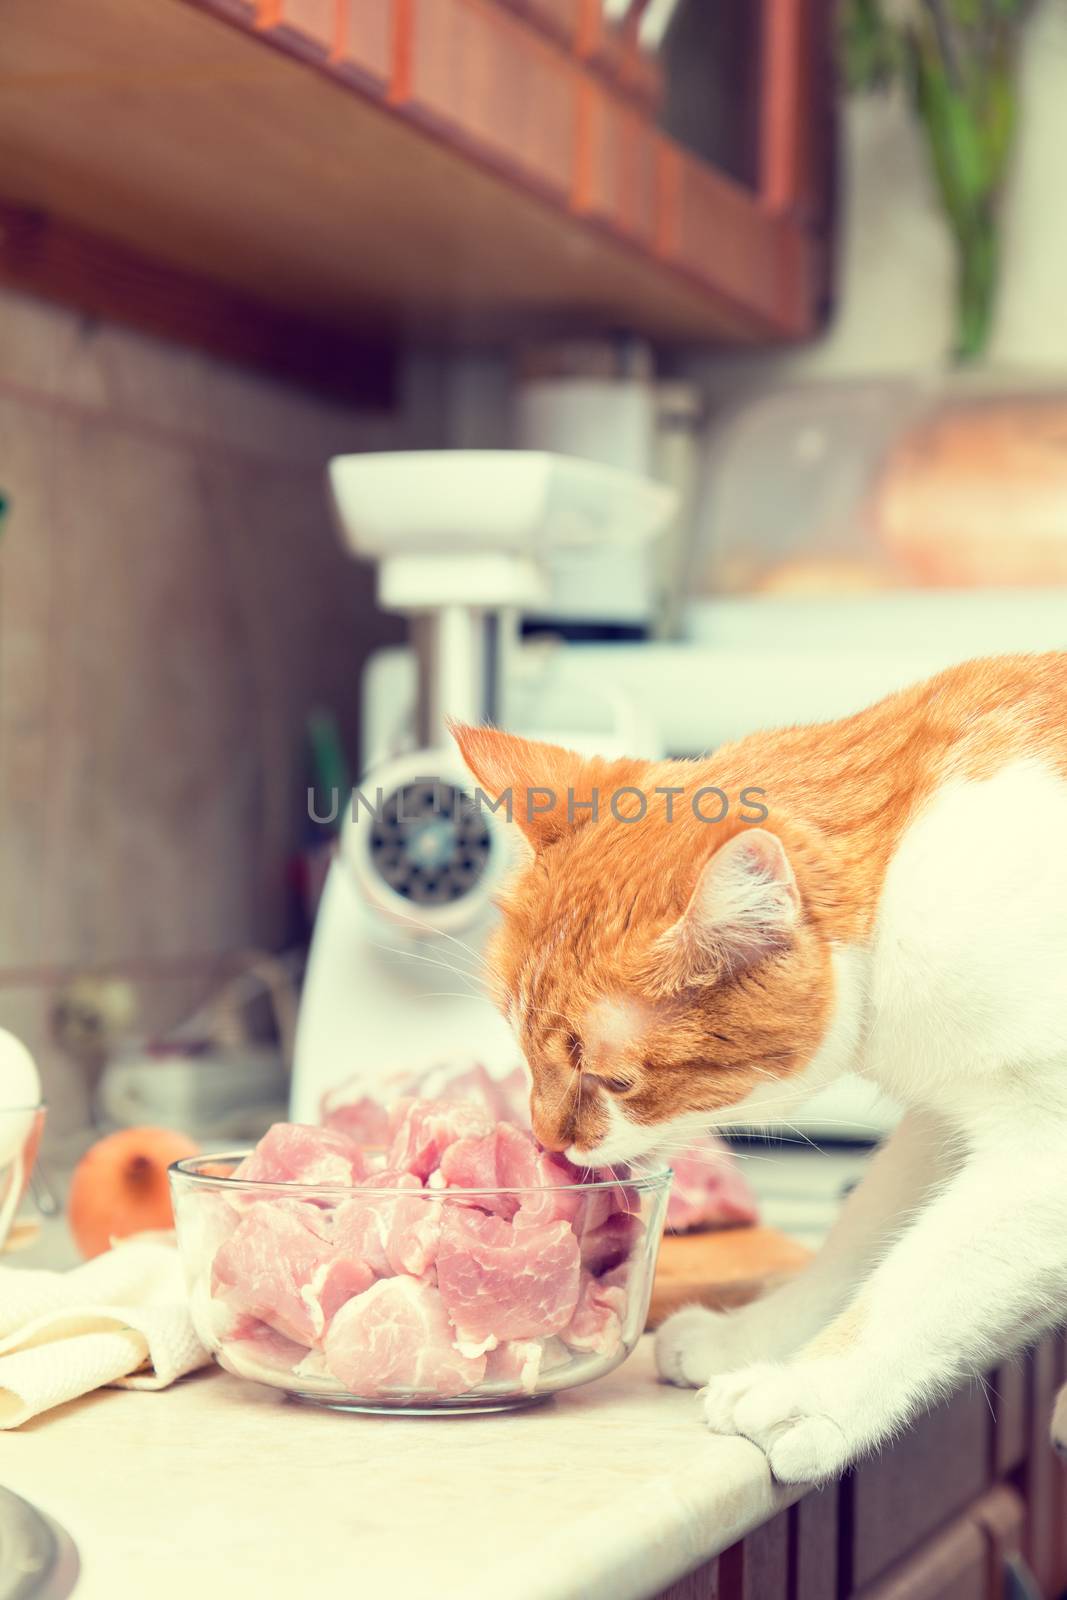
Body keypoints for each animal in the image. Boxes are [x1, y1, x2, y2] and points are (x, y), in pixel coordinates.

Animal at [454, 652, 1067, 1484]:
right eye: (518, 1044)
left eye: (614, 1081)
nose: (547, 1139)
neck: (907, 879)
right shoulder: (944, 1121)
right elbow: (864, 1239)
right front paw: (753, 1339)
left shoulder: (1040, 1159)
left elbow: (922, 1281)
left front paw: (811, 1392)